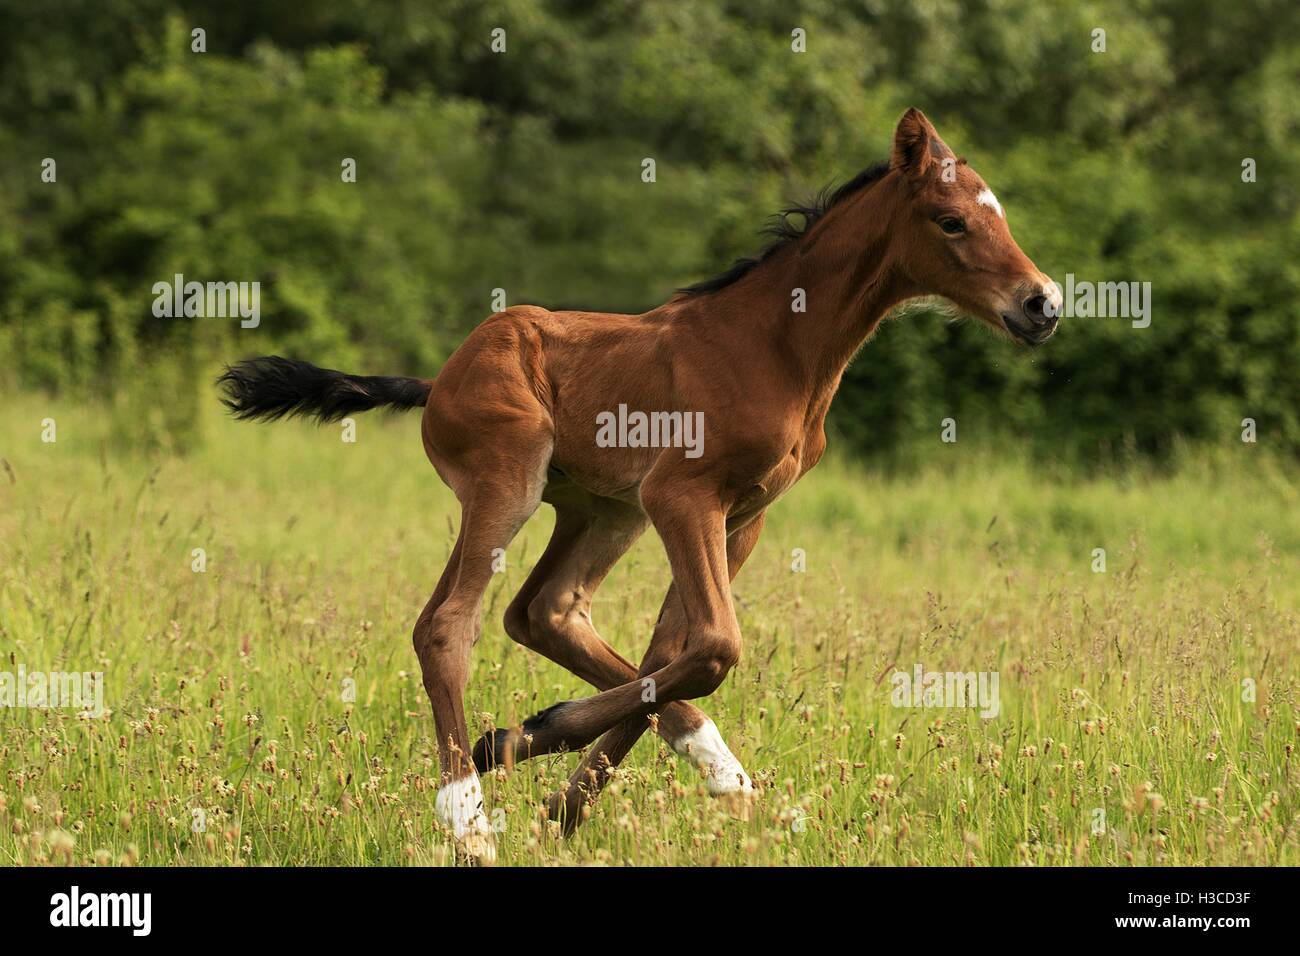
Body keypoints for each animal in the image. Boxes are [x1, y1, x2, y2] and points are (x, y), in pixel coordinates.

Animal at [220, 108, 1055, 863]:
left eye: (1001, 215)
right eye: (951, 221)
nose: (1042, 303)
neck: (780, 345)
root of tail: (440, 379)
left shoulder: (740, 515)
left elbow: (671, 651)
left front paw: (557, 788)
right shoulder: (682, 496)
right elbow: (715, 646)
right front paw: (524, 748)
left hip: (601, 511)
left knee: (545, 612)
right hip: (510, 481)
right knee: (447, 625)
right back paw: (470, 819)